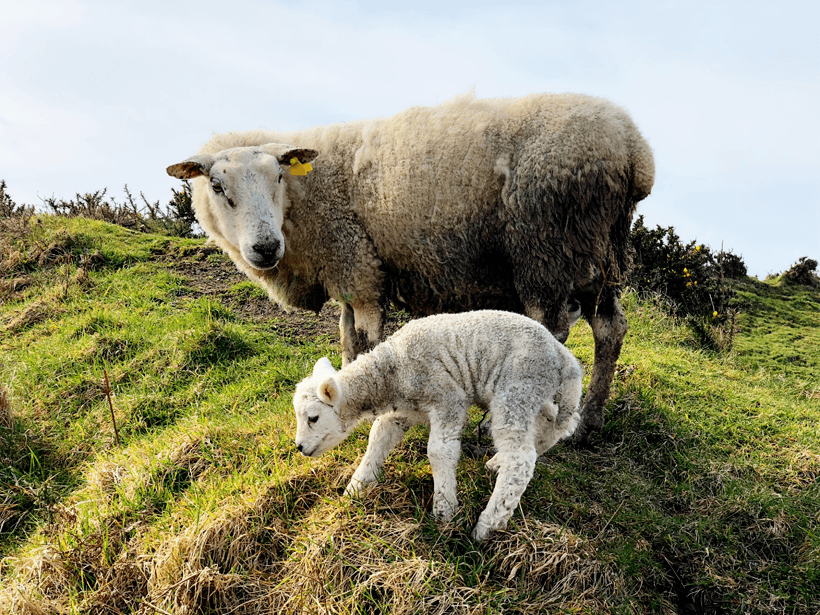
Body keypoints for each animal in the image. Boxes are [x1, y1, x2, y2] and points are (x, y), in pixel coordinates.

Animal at [165, 90, 652, 438]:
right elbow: (347, 341)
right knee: (610, 328)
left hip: (545, 248)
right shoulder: (349, 272)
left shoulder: (359, 266)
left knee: (550, 329)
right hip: (598, 255)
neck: (308, 199)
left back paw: (499, 425)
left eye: (279, 176)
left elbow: (367, 341)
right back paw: (589, 421)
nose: (265, 247)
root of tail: (634, 152)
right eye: (216, 186)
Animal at [292, 310, 580, 540]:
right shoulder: (404, 410)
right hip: (538, 395)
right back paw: (497, 463)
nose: (299, 447)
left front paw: (444, 509)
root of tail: (564, 357)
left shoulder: (447, 397)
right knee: (555, 426)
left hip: (517, 388)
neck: (393, 370)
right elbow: (378, 437)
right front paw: (356, 488)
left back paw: (488, 524)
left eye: (313, 418)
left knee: (520, 459)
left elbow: (440, 452)